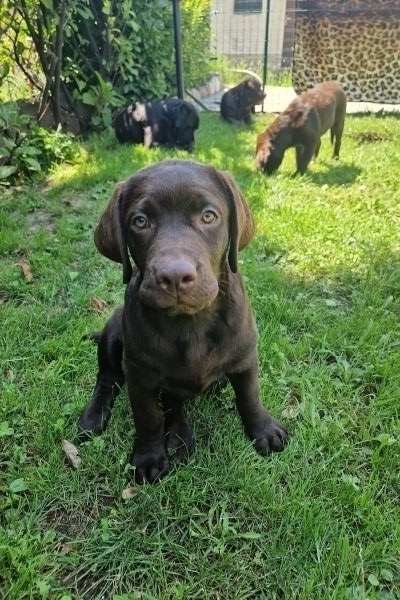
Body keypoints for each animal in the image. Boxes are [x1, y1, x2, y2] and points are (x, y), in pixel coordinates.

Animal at [78, 158, 290, 482]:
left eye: (208, 216)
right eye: (140, 221)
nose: (175, 276)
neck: (190, 323)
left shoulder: (245, 358)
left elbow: (250, 396)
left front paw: (264, 430)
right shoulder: (139, 375)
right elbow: (148, 417)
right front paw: (149, 456)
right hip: (114, 330)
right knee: (108, 380)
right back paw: (96, 417)